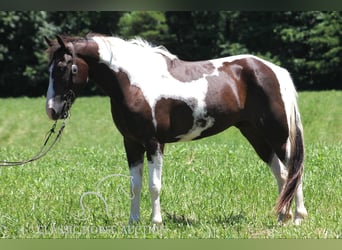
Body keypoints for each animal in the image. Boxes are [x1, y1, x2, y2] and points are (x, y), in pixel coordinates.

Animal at [44, 33, 308, 225]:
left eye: (63, 68)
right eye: (51, 69)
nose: (51, 110)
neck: (134, 83)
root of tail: (275, 71)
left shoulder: (154, 142)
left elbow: (154, 185)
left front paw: (156, 222)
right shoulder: (131, 143)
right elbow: (135, 185)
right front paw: (133, 222)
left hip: (278, 136)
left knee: (294, 171)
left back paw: (297, 217)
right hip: (255, 135)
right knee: (282, 174)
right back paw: (281, 216)